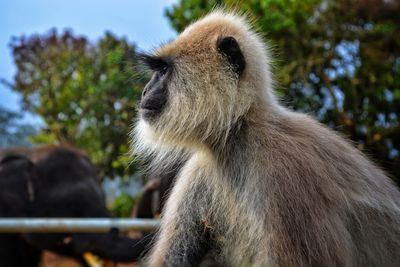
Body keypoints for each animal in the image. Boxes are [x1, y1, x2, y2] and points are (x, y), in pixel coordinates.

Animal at [133, 10, 400, 267]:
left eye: (164, 70)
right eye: (157, 70)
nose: (145, 91)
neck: (240, 134)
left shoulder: (283, 172)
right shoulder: (199, 170)